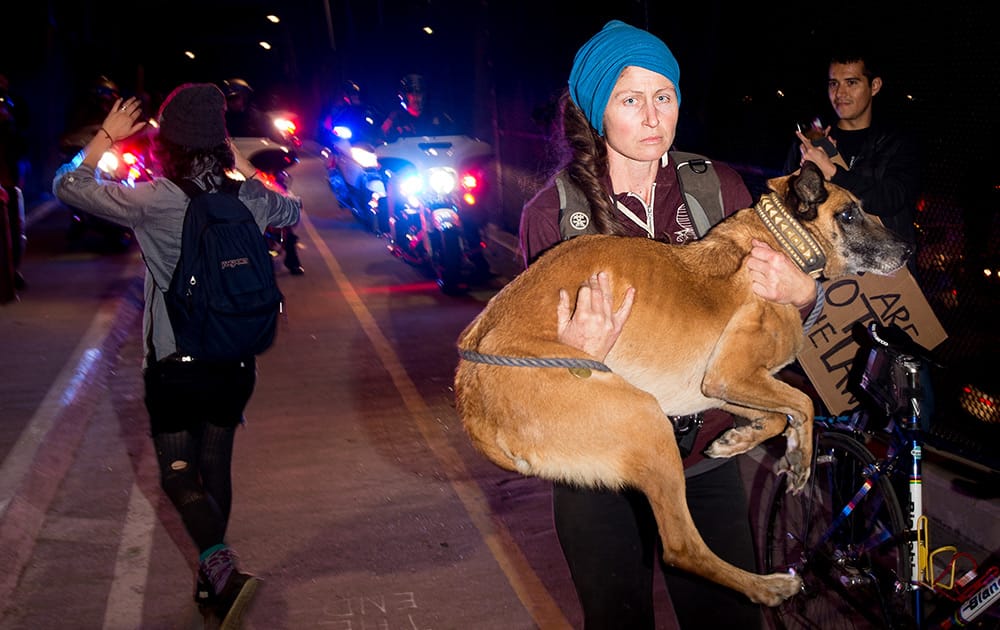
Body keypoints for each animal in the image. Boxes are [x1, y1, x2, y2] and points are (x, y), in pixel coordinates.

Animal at [458, 162, 912, 608]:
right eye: (849, 214)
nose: (908, 249)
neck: (779, 239)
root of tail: (470, 394)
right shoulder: (732, 374)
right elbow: (804, 404)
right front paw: (800, 460)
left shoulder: (719, 388)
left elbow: (776, 418)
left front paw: (736, 441)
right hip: (646, 421)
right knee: (680, 548)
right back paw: (767, 587)